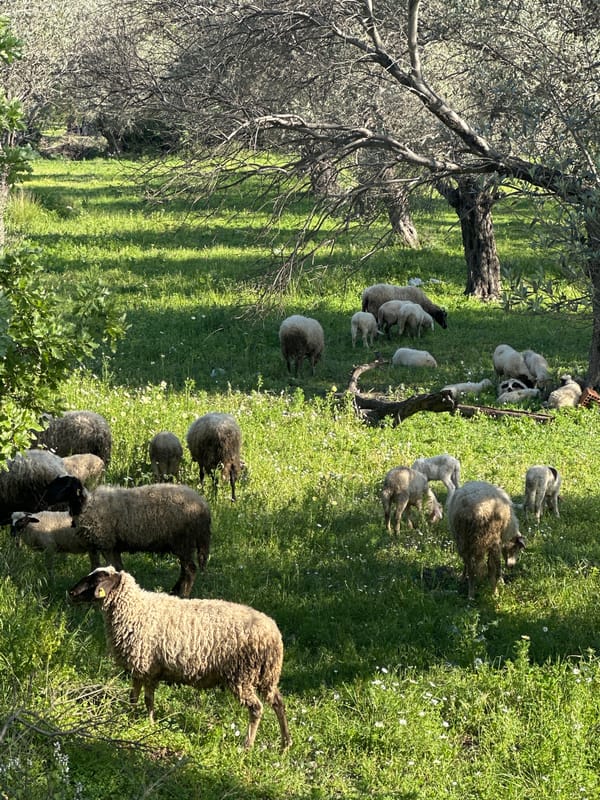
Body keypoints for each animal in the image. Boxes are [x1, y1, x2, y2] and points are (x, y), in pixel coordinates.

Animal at [43, 478, 211, 598]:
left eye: (64, 485)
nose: (44, 498)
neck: (87, 506)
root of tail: (203, 506)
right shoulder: (104, 547)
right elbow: (109, 567)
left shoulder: (106, 544)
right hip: (183, 544)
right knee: (185, 569)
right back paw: (175, 591)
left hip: (183, 541)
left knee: (190, 569)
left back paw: (183, 594)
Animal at [68, 566, 292, 751]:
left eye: (97, 579)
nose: (70, 593)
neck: (135, 608)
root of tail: (273, 634)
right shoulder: (139, 668)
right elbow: (134, 697)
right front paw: (128, 717)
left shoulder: (148, 667)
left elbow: (148, 700)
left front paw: (149, 724)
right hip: (267, 676)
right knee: (278, 703)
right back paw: (285, 744)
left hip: (242, 675)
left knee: (256, 708)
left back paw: (247, 745)